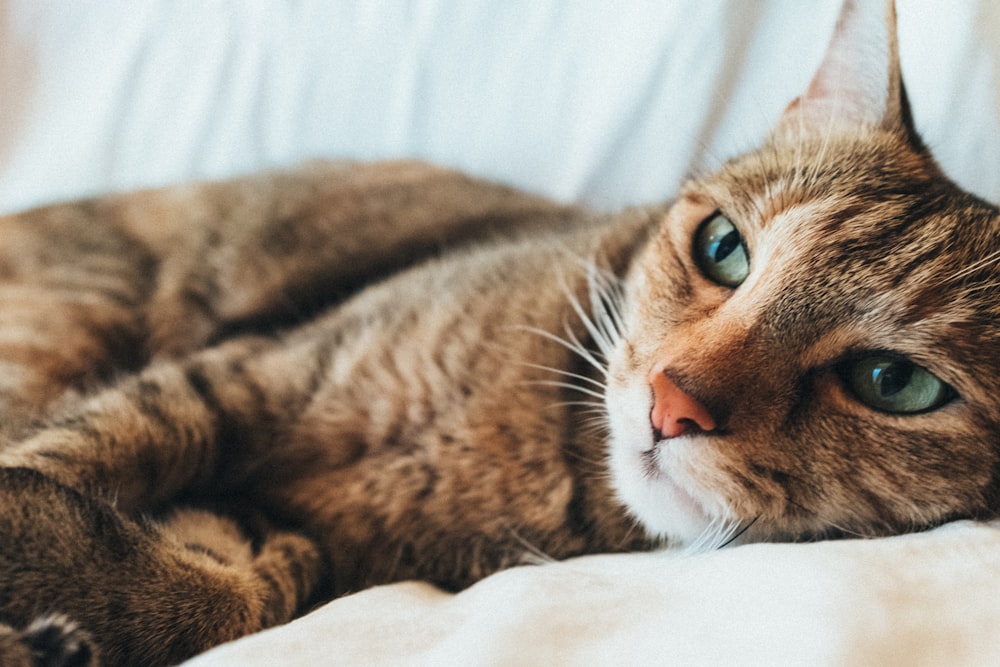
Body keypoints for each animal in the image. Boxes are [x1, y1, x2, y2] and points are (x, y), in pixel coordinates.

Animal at [1, 0, 1000, 664]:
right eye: (724, 248)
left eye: (893, 383)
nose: (670, 401)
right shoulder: (252, 373)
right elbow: (85, 445)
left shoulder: (282, 534)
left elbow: (217, 594)